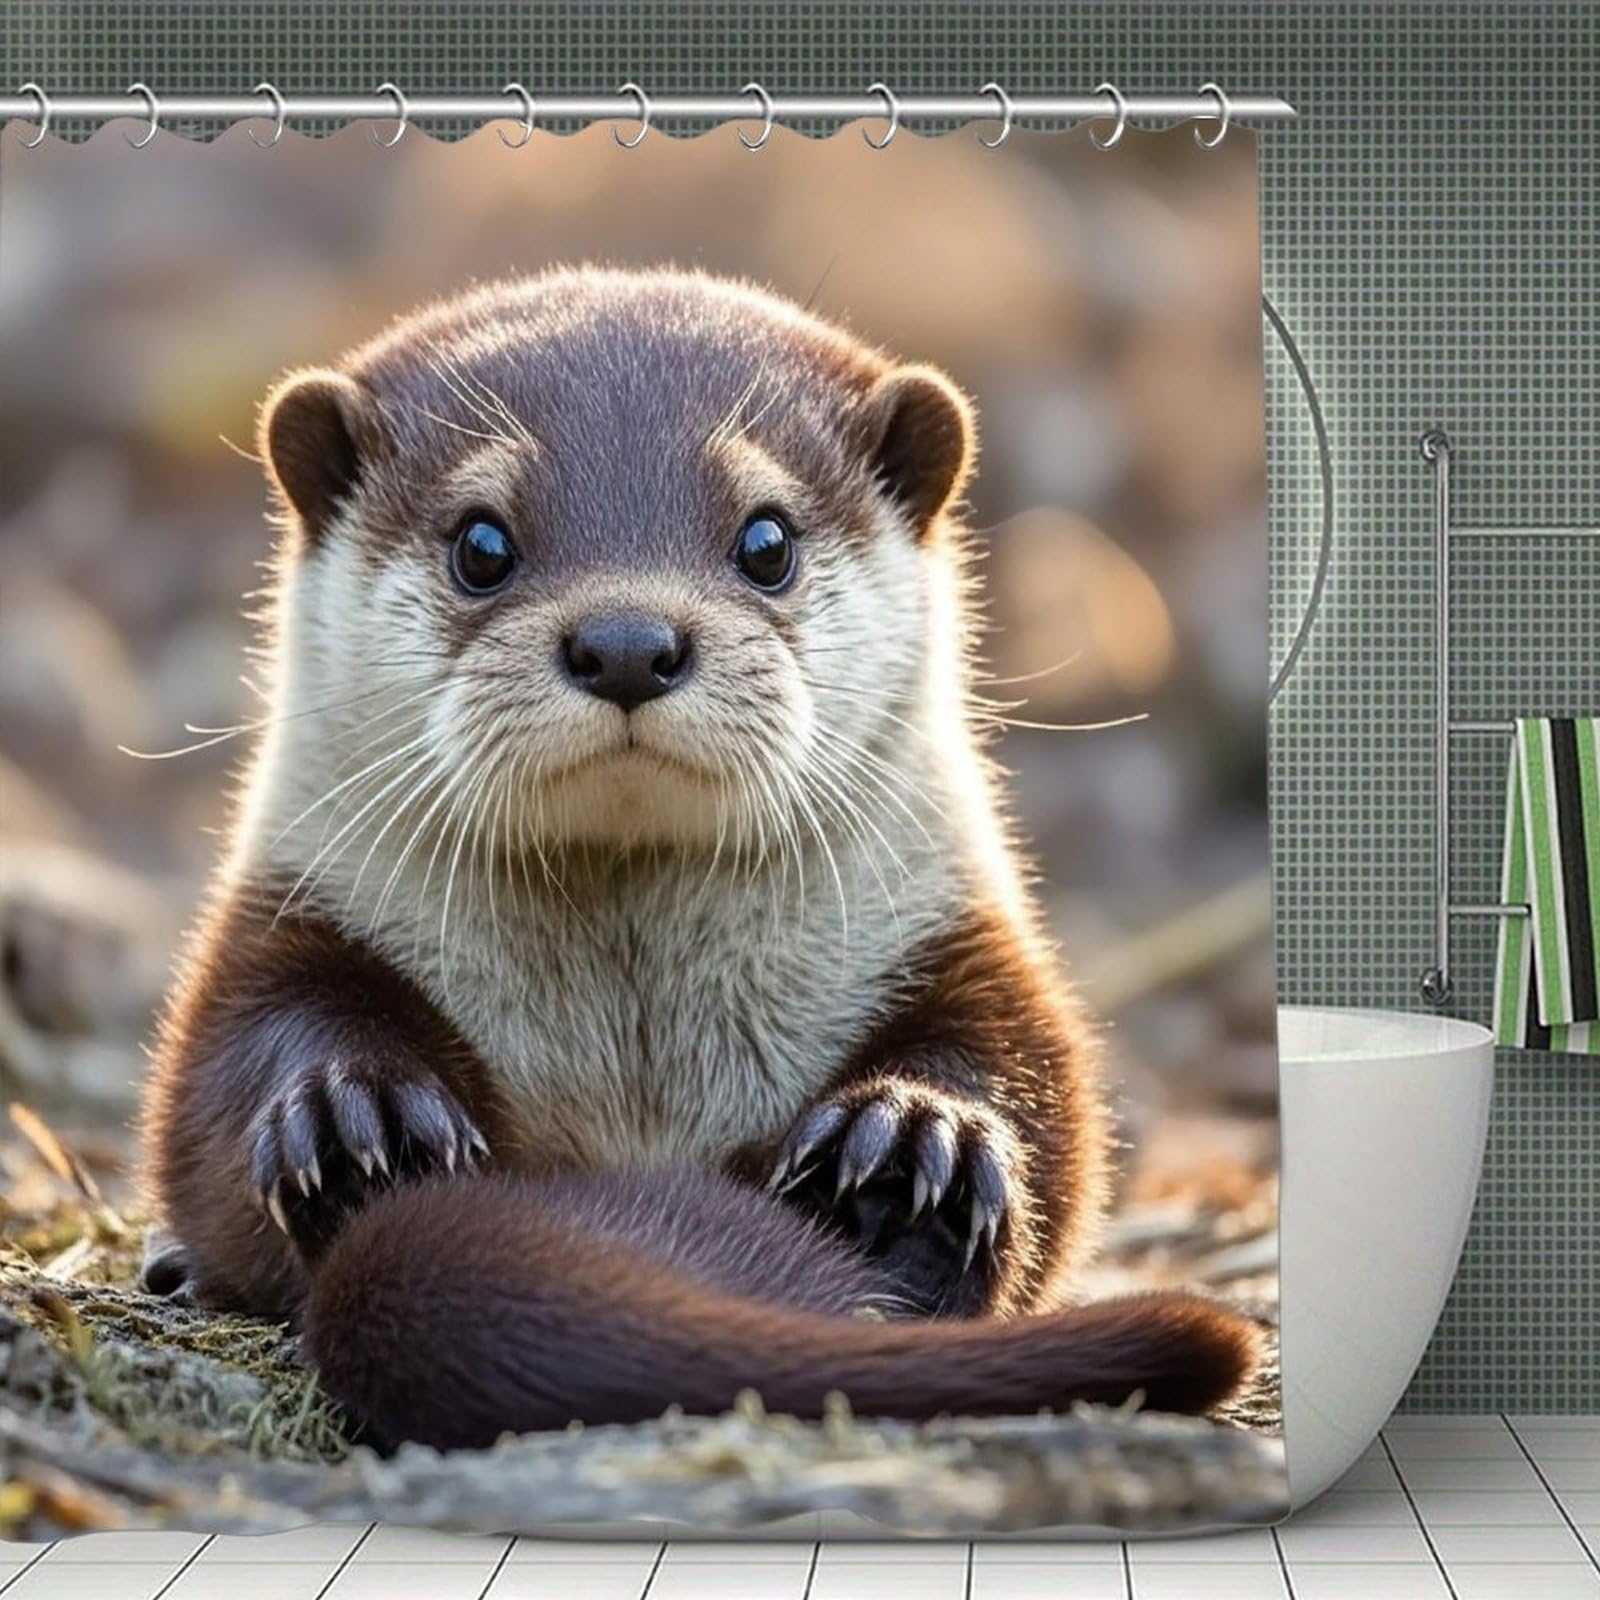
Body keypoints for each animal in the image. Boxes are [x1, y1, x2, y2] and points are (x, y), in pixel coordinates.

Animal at [139, 267, 1259, 1451]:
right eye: (481, 544)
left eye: (766, 541)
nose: (628, 642)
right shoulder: (284, 918)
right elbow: (223, 1086)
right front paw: (358, 1117)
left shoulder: (958, 935)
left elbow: (1034, 1087)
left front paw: (921, 1145)